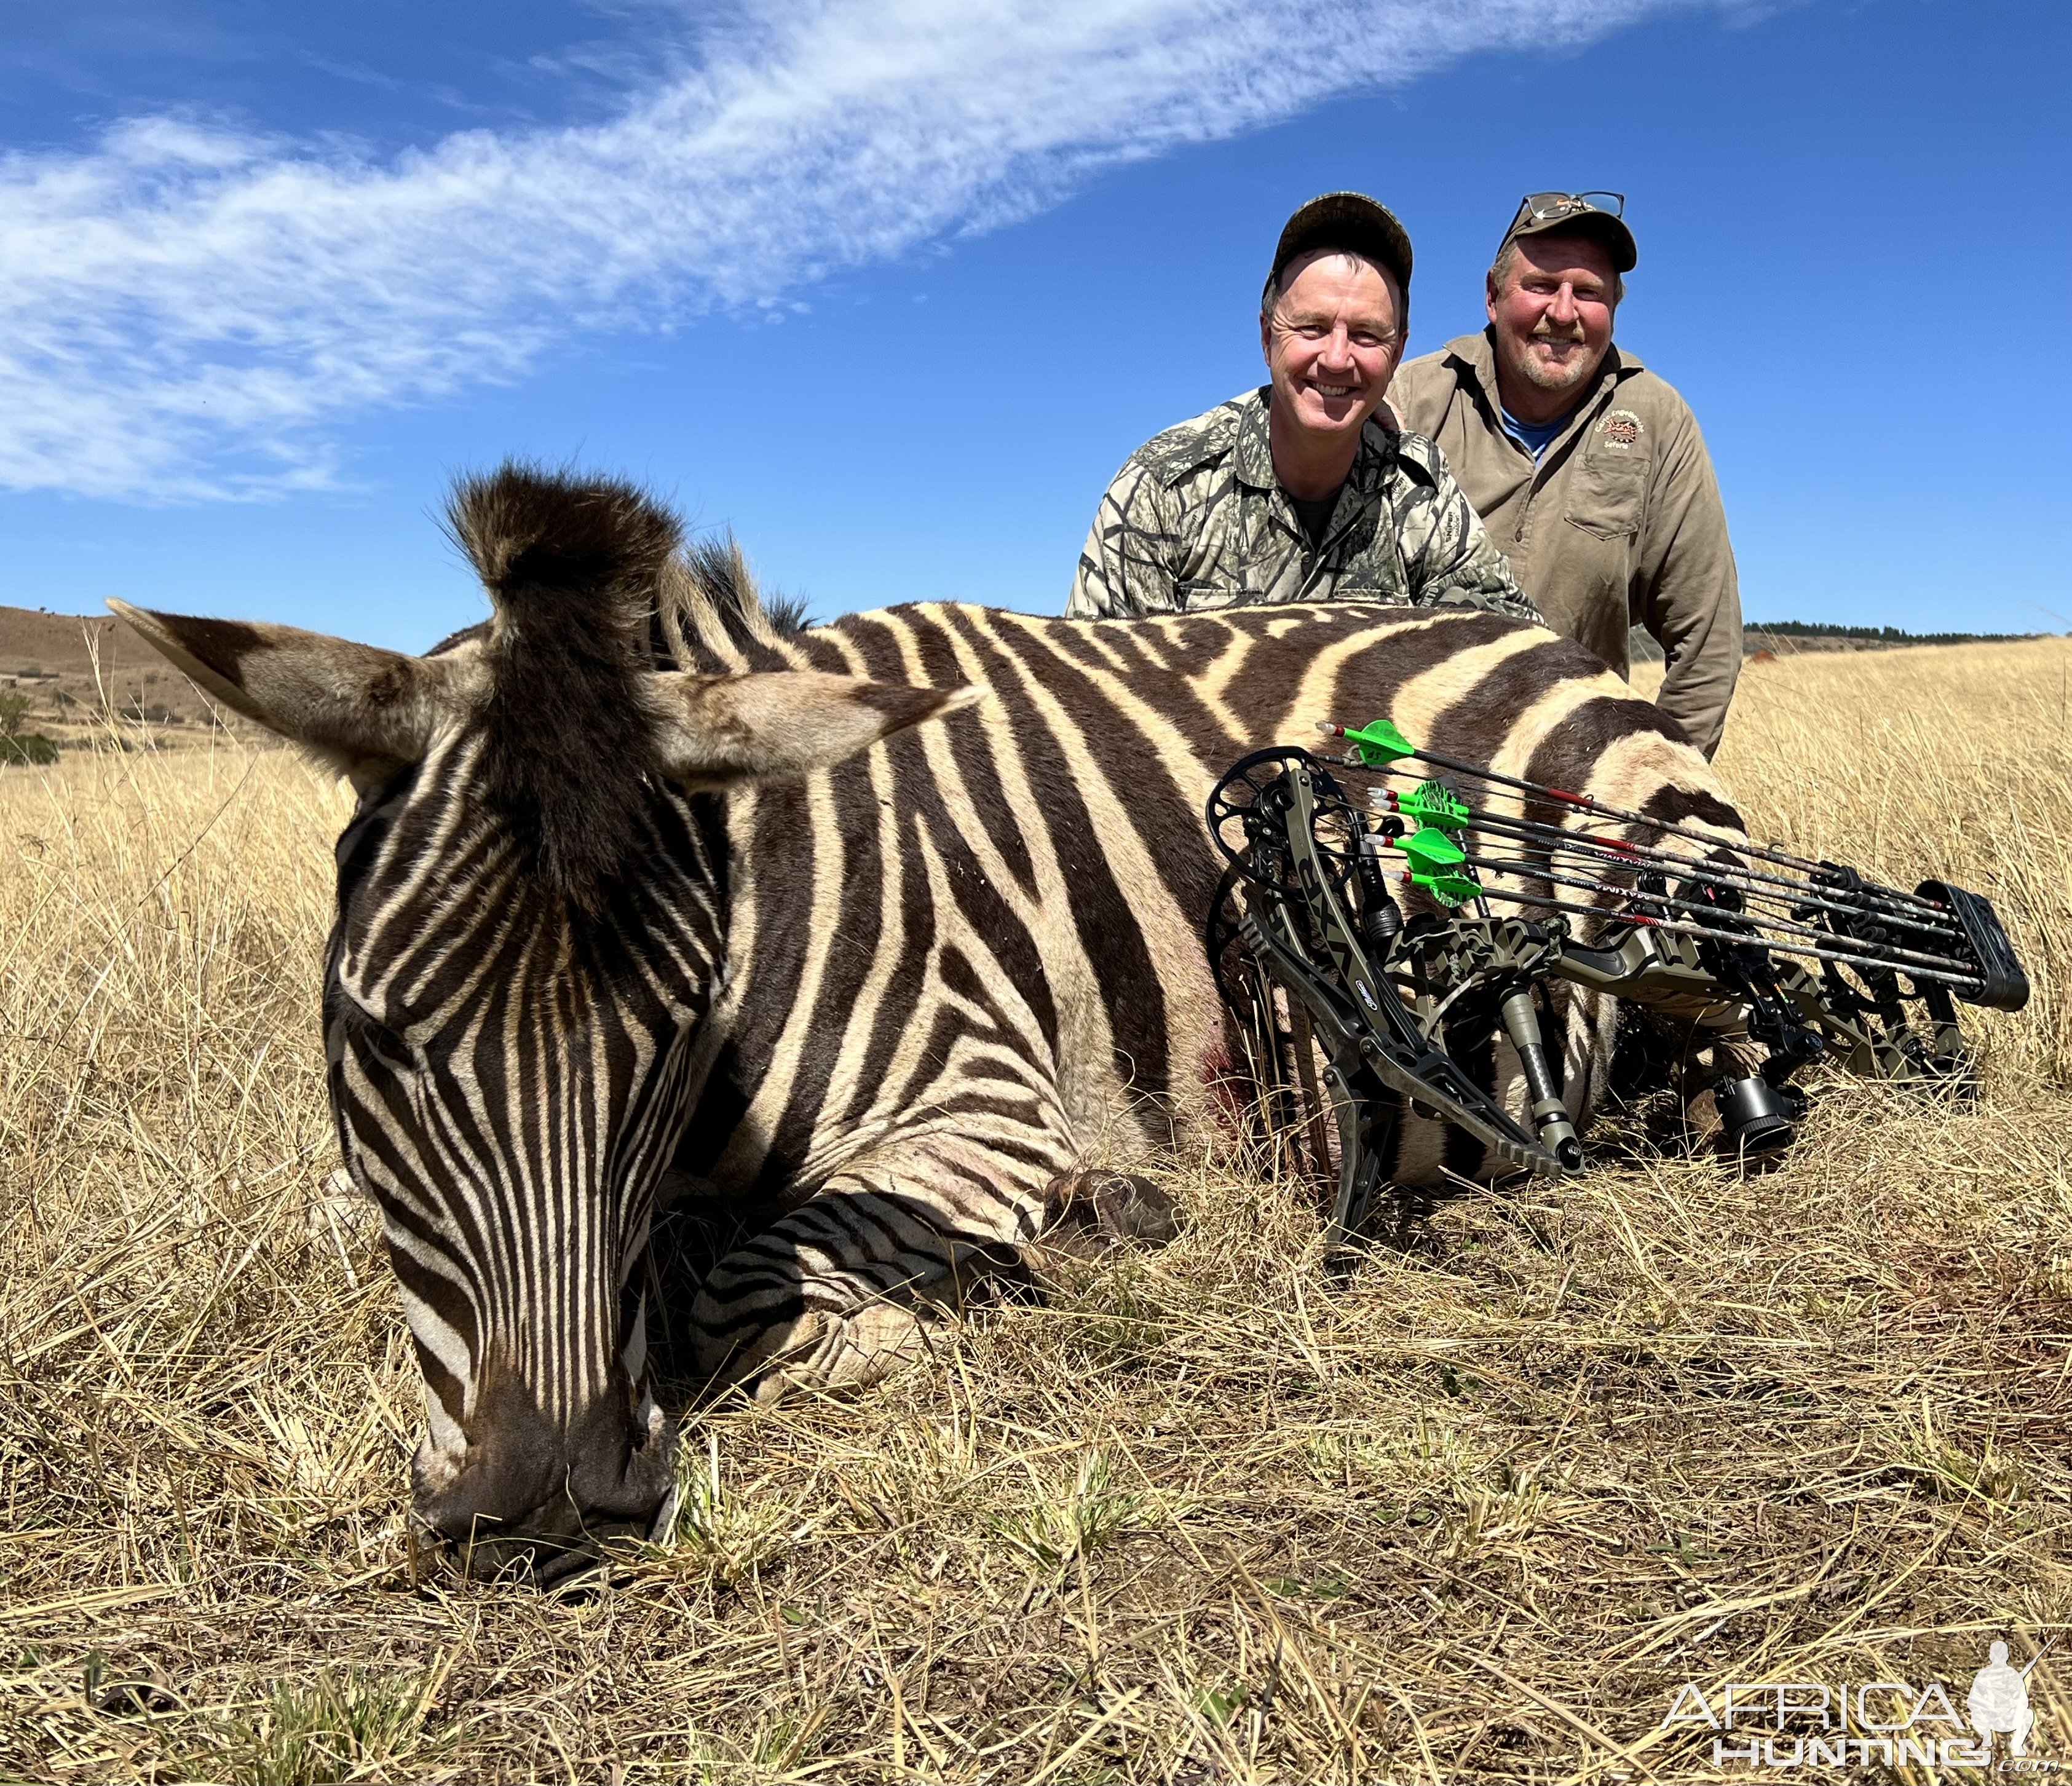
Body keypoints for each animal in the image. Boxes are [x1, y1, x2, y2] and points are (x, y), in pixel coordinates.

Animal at [113, 462, 1749, 1549]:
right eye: (374, 1036)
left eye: (673, 1030)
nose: (549, 1500)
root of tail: (1549, 643)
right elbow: (330, 1213)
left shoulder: (985, 1102)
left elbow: (730, 1292)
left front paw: (936, 1313)